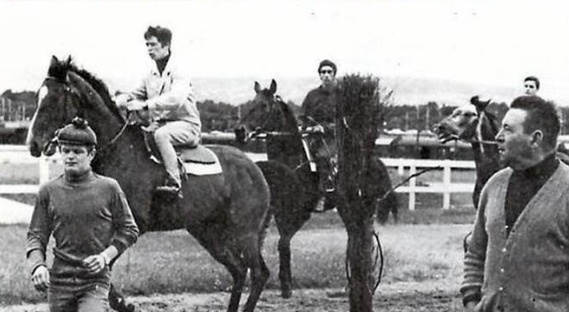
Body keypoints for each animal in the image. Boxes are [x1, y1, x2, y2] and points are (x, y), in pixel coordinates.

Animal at [27, 56, 272, 312]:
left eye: (53, 99)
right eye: (38, 97)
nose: (32, 143)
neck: (120, 151)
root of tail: (254, 167)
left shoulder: (133, 225)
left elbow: (104, 269)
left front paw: (125, 304)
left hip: (244, 233)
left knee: (258, 273)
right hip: (209, 232)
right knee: (239, 270)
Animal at [233, 79, 398, 298]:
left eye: (264, 106)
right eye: (251, 102)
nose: (240, 131)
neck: (293, 165)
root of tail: (374, 161)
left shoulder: (301, 213)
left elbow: (283, 242)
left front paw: (286, 284)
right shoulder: (279, 212)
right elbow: (280, 243)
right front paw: (281, 283)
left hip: (363, 207)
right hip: (346, 208)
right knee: (352, 236)